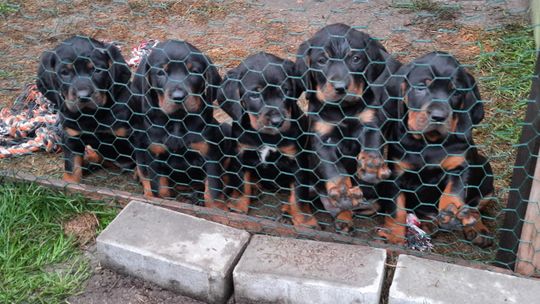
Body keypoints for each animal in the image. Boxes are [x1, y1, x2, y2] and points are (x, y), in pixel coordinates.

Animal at [37, 35, 134, 183]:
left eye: (97, 70)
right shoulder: (71, 137)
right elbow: (71, 169)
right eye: (64, 72)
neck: (92, 115)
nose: (83, 96)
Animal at [215, 52, 316, 228]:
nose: (277, 121)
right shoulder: (240, 153)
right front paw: (238, 206)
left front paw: (305, 221)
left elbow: (299, 195)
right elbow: (241, 184)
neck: (265, 135)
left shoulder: (298, 161)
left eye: (286, 90)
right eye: (255, 94)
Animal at [296, 23, 396, 232]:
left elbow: (372, 144)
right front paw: (342, 191)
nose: (340, 87)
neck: (343, 110)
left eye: (356, 58)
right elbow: (334, 169)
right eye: (322, 60)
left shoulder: (370, 122)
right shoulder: (321, 139)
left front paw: (372, 166)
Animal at [374, 51, 496, 247]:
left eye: (456, 92)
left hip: (485, 168)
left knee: (475, 206)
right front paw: (394, 237)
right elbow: (396, 210)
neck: (428, 144)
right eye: (421, 87)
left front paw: (450, 212)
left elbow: (454, 190)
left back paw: (476, 228)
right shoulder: (396, 174)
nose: (439, 116)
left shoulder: (461, 165)